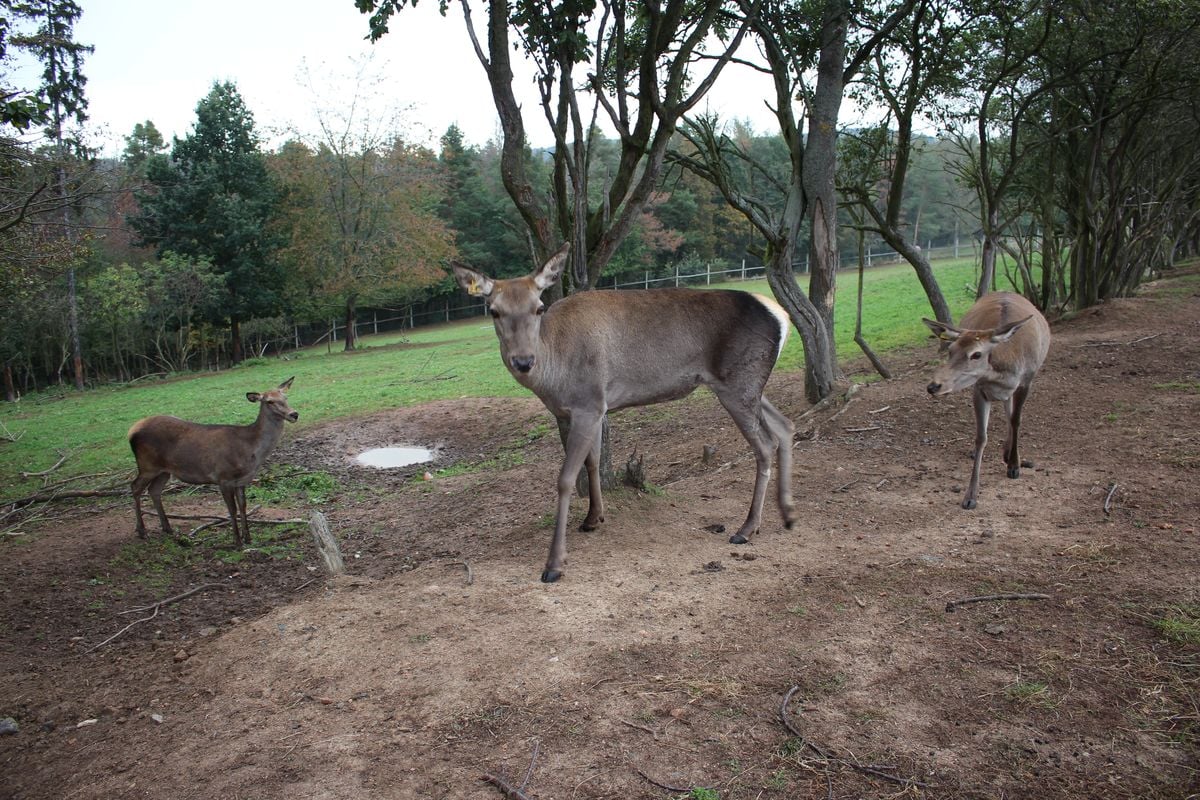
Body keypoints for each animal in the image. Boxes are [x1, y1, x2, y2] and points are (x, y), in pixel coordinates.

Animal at [127, 379, 298, 546]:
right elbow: (232, 509)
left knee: (154, 490)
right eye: (269, 401)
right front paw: (237, 541)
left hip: (164, 470)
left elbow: (243, 507)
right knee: (135, 487)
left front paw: (248, 538)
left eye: (285, 397)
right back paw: (142, 531)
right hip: (147, 465)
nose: (294, 414)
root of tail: (131, 431)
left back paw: (167, 528)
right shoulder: (223, 477)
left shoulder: (242, 480)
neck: (250, 451)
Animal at [453, 244, 801, 582]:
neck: (554, 378)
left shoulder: (588, 403)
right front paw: (593, 518)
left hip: (738, 382)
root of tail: (782, 316)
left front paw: (554, 564)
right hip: (749, 386)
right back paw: (787, 513)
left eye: (538, 307)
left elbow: (566, 478)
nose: (523, 361)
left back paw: (747, 528)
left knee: (765, 444)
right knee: (786, 425)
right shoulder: (592, 409)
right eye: (494, 310)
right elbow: (593, 461)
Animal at [916, 291, 1051, 510]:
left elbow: (1016, 420)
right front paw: (970, 495)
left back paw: (1008, 454)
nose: (934, 386)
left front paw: (1014, 466)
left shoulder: (1027, 381)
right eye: (950, 350)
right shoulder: (979, 389)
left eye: (976, 354)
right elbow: (981, 437)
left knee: (1010, 413)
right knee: (1006, 407)